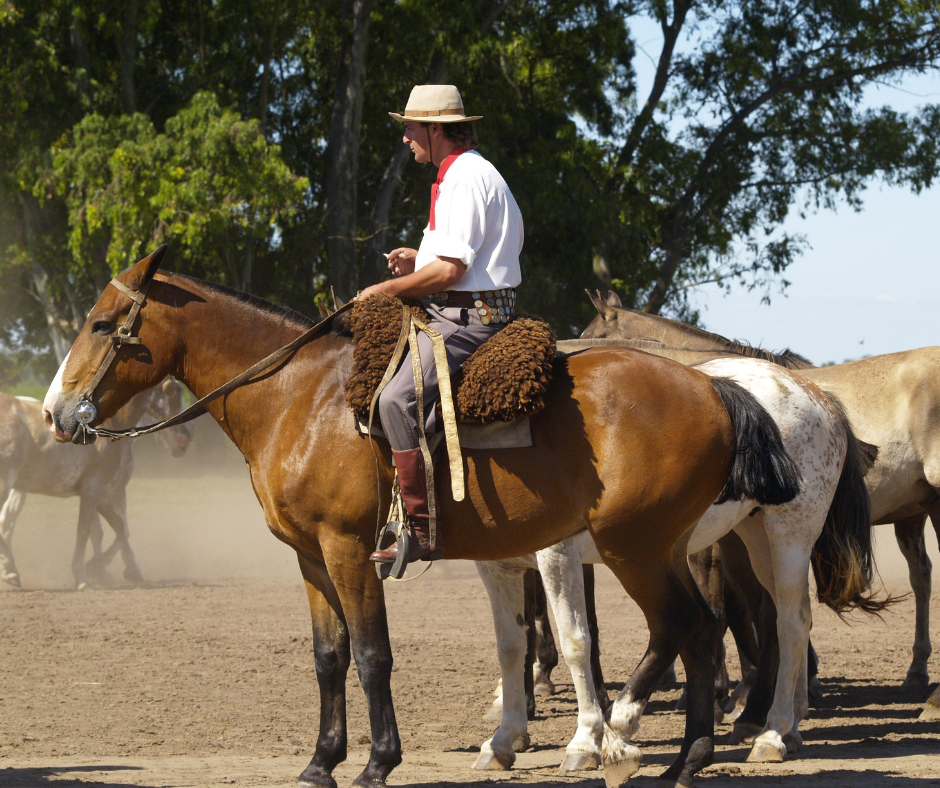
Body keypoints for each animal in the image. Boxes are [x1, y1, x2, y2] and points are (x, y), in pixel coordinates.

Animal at [0, 377, 193, 588]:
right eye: (174, 391)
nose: (187, 435)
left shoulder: (101, 492)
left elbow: (117, 527)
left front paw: (122, 570)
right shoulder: (97, 489)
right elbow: (87, 530)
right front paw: (84, 574)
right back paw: (10, 569)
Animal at [41, 247, 803, 788]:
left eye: (103, 325)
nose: (54, 412)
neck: (301, 398)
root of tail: (715, 387)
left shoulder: (349, 550)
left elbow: (372, 654)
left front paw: (379, 761)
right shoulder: (310, 557)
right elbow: (328, 657)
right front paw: (320, 763)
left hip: (637, 550)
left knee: (697, 629)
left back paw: (684, 755)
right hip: (661, 549)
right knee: (700, 630)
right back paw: (688, 756)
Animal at [474, 354, 880, 771]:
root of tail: (818, 395)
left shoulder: (559, 554)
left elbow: (577, 640)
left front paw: (585, 741)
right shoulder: (498, 565)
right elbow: (512, 645)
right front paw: (505, 737)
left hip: (789, 534)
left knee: (790, 622)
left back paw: (771, 731)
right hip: (754, 536)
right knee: (785, 618)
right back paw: (785, 726)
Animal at [583, 291, 940, 720]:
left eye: (588, 333)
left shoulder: (711, 544)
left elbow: (730, 608)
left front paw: (725, 693)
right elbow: (748, 608)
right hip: (915, 513)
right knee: (921, 576)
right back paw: (915, 673)